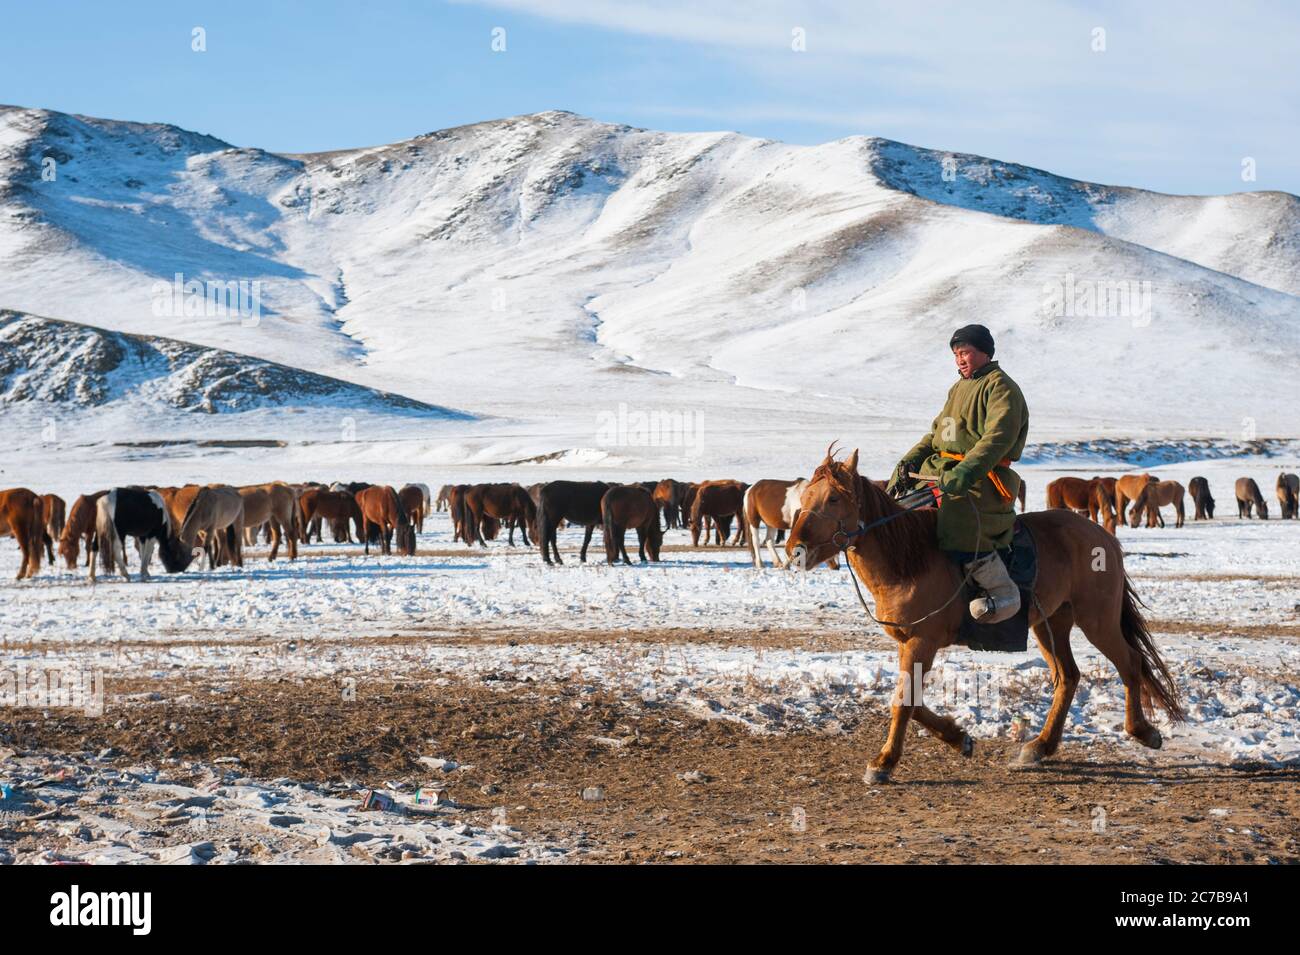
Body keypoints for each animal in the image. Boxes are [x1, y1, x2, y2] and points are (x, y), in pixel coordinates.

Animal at [785, 446, 1185, 784]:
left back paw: (1143, 732)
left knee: (1130, 663)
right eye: (803, 499)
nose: (795, 549)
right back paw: (1039, 747)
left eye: (833, 498)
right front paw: (958, 738)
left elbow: (904, 701)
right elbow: (912, 701)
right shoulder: (907, 643)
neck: (907, 559)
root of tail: (1102, 536)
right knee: (1068, 677)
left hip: (1097, 620)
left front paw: (883, 763)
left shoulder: (923, 641)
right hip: (1050, 624)